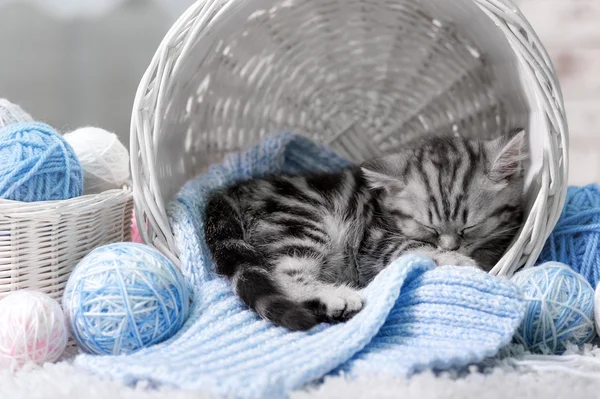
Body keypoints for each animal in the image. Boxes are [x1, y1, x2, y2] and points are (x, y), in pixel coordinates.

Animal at [204, 131, 524, 332]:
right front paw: (452, 260)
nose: (450, 247)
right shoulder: (373, 243)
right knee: (285, 274)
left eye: (470, 227)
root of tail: (233, 189)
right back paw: (336, 297)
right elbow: (408, 247)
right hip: (303, 222)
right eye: (428, 228)